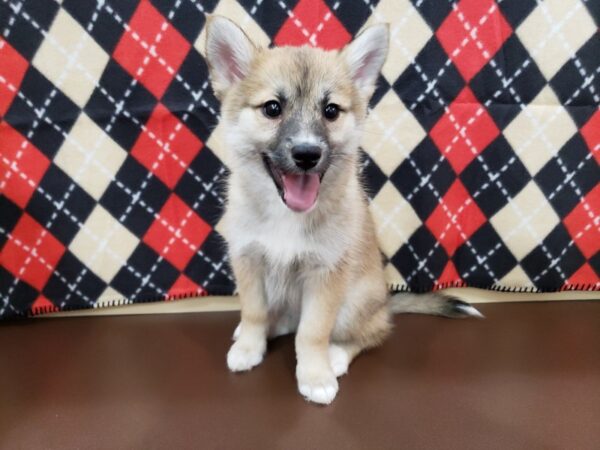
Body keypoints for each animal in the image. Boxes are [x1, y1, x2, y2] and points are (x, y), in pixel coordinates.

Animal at [204, 16, 480, 404]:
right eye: (272, 108)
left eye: (330, 111)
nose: (307, 154)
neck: (286, 215)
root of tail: (384, 302)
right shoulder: (249, 261)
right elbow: (255, 312)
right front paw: (249, 347)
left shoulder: (327, 274)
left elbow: (312, 333)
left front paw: (315, 375)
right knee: (285, 319)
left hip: (355, 303)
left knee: (371, 333)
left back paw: (335, 357)